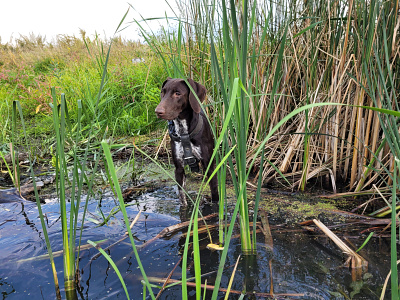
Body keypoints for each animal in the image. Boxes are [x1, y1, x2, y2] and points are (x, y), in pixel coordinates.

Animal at [155, 77, 219, 205]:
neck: (184, 132)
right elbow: (182, 197)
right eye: (163, 92)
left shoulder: (210, 166)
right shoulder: (179, 170)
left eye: (177, 93)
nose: (158, 111)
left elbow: (215, 194)